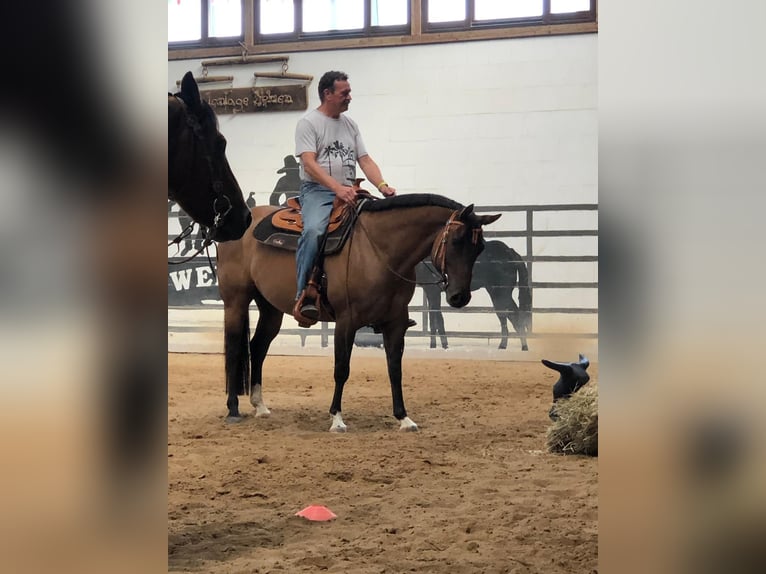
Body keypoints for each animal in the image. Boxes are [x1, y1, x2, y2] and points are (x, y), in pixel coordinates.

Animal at [216, 193, 501, 432]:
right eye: (455, 240)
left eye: (480, 248)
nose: (459, 297)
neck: (378, 250)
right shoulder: (346, 321)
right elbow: (342, 368)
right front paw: (337, 419)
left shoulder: (395, 323)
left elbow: (394, 368)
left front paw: (403, 417)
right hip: (236, 301)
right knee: (234, 348)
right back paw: (233, 409)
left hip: (271, 308)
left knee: (258, 347)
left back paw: (260, 406)